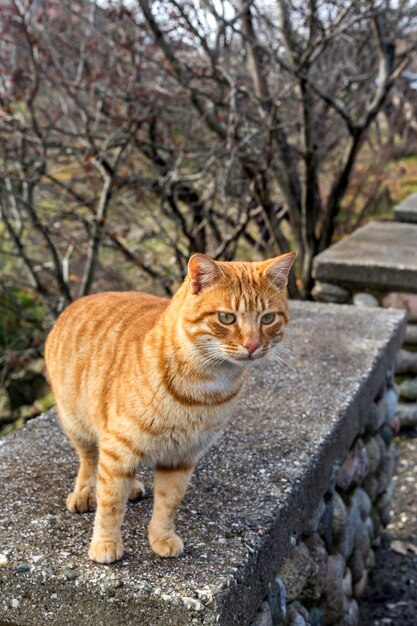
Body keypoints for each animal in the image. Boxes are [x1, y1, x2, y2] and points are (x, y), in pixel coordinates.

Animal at [44, 251, 292, 564]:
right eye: (226, 318)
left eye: (267, 318)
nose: (252, 345)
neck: (203, 390)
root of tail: (79, 300)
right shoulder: (119, 445)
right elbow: (111, 503)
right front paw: (105, 542)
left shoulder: (182, 456)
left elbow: (168, 502)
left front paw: (161, 537)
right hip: (77, 424)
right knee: (90, 460)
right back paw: (86, 492)